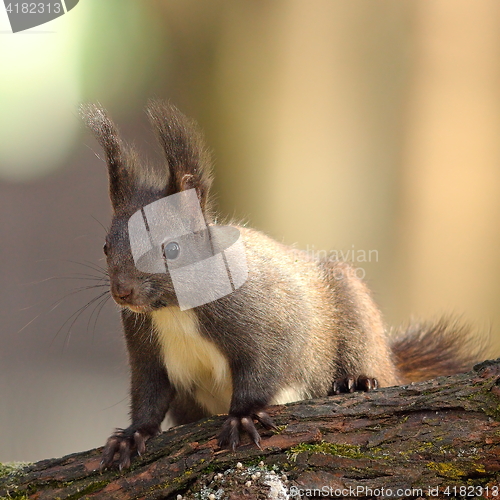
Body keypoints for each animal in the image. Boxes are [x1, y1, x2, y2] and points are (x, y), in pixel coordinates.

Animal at [81, 100, 484, 468]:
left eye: (172, 249)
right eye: (105, 246)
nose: (122, 292)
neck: (175, 309)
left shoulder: (267, 321)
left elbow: (264, 366)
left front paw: (242, 416)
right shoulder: (146, 349)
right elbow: (148, 395)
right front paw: (132, 435)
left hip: (357, 315)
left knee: (371, 362)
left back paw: (358, 381)